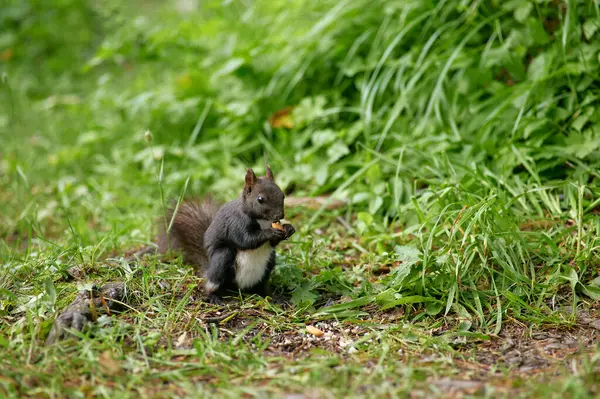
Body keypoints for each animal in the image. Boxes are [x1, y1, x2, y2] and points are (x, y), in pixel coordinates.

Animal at [156, 166, 294, 306]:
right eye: (260, 199)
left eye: (282, 195)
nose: (280, 215)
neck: (262, 221)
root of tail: (239, 288)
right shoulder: (236, 223)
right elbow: (246, 240)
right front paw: (270, 233)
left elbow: (271, 243)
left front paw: (288, 228)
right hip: (222, 259)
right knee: (212, 283)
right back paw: (213, 296)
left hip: (269, 263)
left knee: (262, 288)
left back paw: (274, 297)